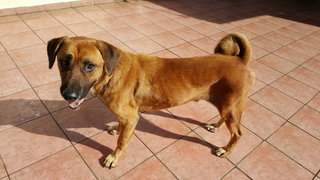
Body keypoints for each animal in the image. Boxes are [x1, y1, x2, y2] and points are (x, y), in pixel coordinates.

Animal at [47, 32, 255, 169]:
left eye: (90, 66)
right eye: (64, 61)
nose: (69, 95)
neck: (112, 74)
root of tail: (240, 60)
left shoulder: (131, 118)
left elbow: (122, 142)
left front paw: (114, 157)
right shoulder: (128, 117)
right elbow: (121, 127)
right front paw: (117, 128)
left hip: (231, 107)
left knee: (237, 133)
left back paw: (226, 150)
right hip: (227, 106)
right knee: (226, 119)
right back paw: (216, 126)